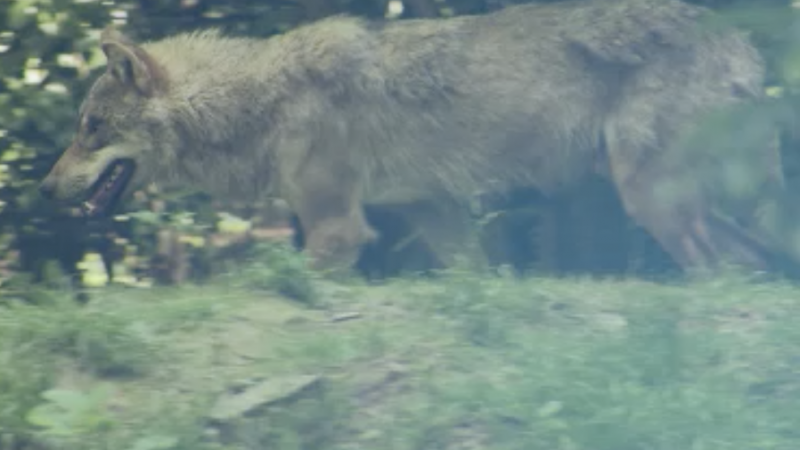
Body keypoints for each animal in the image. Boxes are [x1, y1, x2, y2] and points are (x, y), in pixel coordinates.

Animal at [39, 0, 788, 274]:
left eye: (90, 131)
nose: (43, 187)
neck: (261, 99)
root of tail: (742, 41)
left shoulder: (337, 229)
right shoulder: (438, 215)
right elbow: (476, 279)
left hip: (650, 200)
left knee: (720, 270)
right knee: (751, 262)